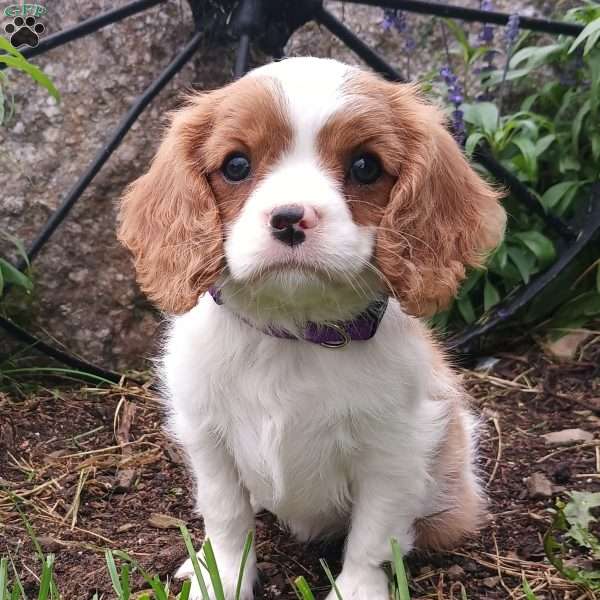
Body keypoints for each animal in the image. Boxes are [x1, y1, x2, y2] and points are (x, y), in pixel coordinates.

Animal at [116, 57, 502, 600]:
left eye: (365, 167)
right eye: (236, 165)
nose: (289, 218)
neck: (292, 332)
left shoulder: (394, 452)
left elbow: (372, 535)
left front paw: (357, 590)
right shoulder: (208, 438)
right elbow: (226, 517)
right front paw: (222, 578)